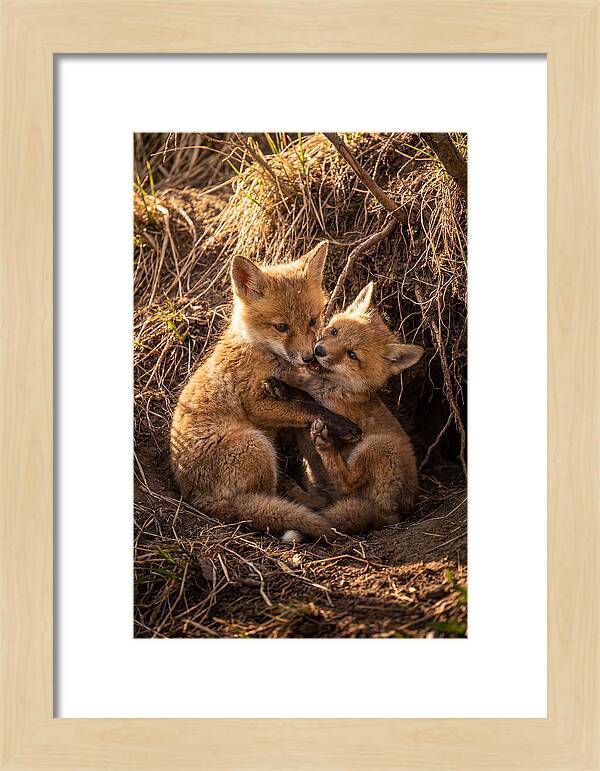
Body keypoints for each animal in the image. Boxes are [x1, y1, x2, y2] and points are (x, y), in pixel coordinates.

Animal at [169, 241, 361, 539]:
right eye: (281, 327)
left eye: (312, 320)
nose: (309, 357)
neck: (260, 351)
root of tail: (197, 499)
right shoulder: (256, 405)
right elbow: (309, 406)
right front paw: (343, 425)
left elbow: (304, 397)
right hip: (256, 444)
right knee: (266, 500)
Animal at [266, 281, 424, 537]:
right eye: (334, 332)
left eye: (352, 355)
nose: (319, 351)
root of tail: (395, 513)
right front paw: (282, 386)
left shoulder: (341, 415)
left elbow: (309, 400)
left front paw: (286, 389)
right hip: (323, 484)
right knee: (323, 501)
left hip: (379, 446)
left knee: (347, 482)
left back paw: (325, 446)